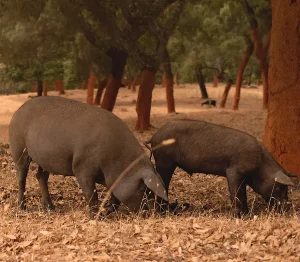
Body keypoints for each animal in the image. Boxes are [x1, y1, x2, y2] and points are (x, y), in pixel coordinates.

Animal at [145, 119, 296, 216]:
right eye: (280, 187)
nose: (287, 208)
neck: (260, 165)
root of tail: (154, 136)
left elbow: (242, 193)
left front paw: (246, 213)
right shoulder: (234, 170)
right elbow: (237, 193)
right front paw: (239, 215)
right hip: (164, 161)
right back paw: (164, 212)